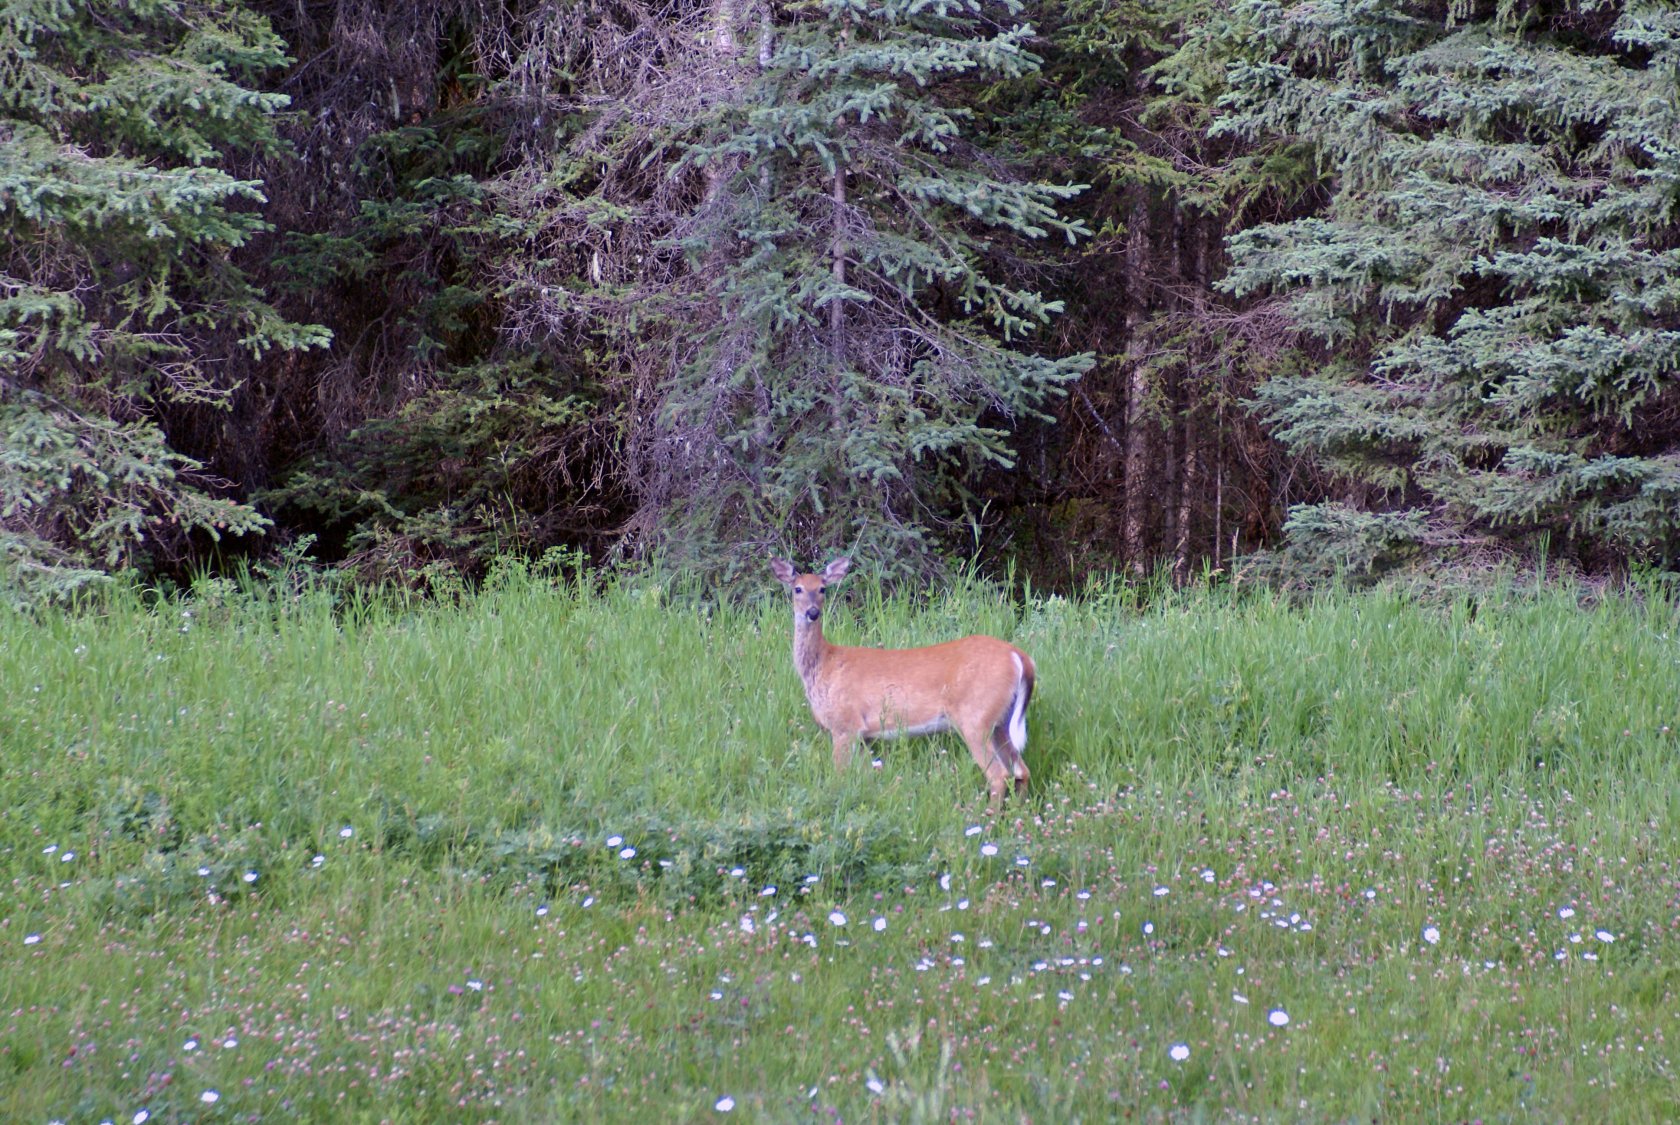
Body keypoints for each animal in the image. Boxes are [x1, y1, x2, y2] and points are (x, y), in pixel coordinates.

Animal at [772, 560, 1034, 816]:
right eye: (797, 589)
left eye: (822, 588)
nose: (812, 613)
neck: (824, 664)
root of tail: (1019, 657)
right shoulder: (863, 735)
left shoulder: (844, 724)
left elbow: (840, 775)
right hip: (1000, 722)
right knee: (1022, 770)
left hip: (975, 717)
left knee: (999, 774)